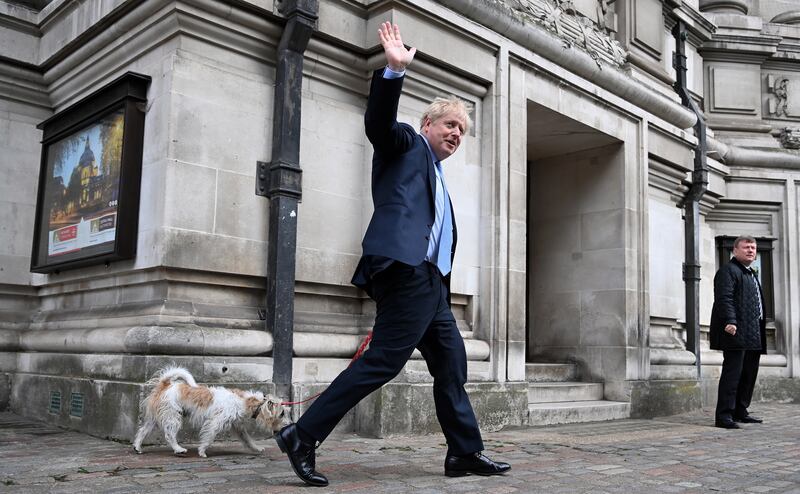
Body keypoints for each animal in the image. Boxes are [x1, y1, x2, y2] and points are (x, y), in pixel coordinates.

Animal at [133, 368, 290, 458]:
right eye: (282, 413)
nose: (289, 424)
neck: (246, 401)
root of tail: (165, 384)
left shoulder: (238, 427)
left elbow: (248, 440)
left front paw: (256, 448)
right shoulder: (215, 423)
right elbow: (208, 438)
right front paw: (202, 451)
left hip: (154, 418)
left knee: (142, 431)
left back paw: (137, 447)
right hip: (172, 416)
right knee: (169, 435)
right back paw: (178, 449)